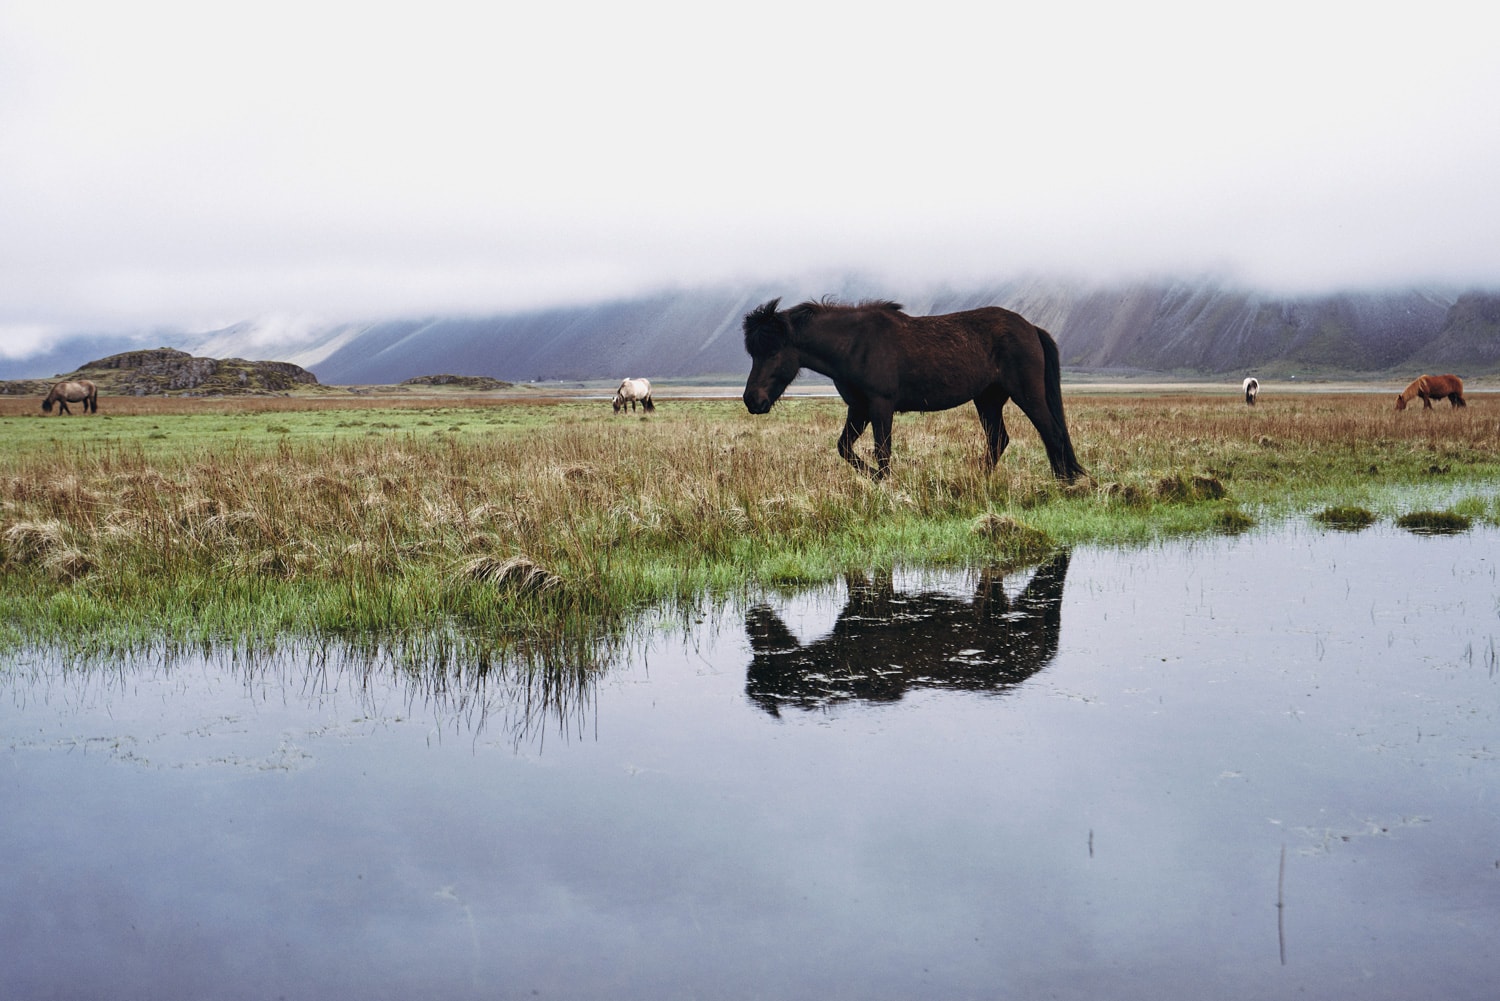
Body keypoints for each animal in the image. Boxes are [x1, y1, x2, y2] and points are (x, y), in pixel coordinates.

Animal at [735, 297, 1080, 480]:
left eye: (773, 352)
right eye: (752, 353)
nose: (752, 400)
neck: (855, 344)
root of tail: (1030, 328)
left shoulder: (880, 405)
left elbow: (882, 450)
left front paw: (886, 483)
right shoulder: (859, 408)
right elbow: (844, 448)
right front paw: (875, 479)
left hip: (1026, 395)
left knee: (1050, 432)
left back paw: (1063, 483)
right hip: (988, 400)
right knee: (999, 440)